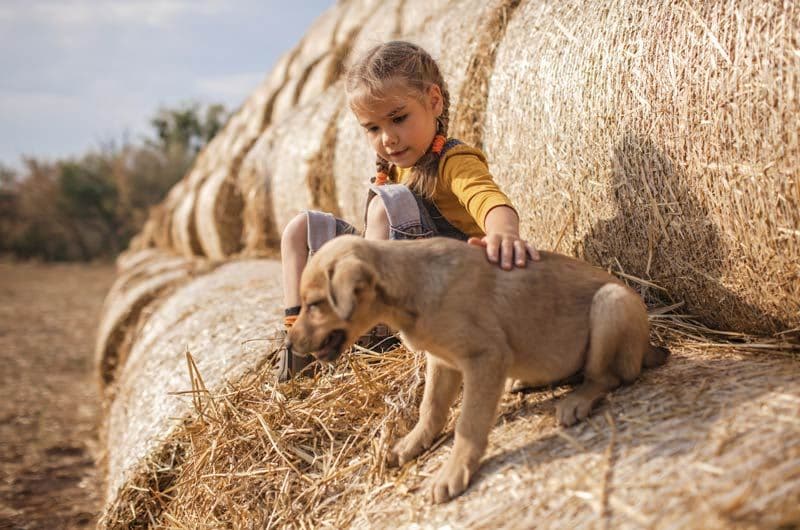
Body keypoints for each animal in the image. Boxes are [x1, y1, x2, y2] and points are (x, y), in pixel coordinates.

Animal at [288, 236, 668, 504]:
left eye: (315, 304)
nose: (290, 343)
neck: (411, 286)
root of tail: (649, 347)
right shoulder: (442, 362)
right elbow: (431, 409)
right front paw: (411, 444)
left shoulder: (485, 357)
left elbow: (468, 425)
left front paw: (452, 472)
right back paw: (524, 381)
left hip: (611, 302)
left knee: (607, 377)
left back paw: (576, 401)